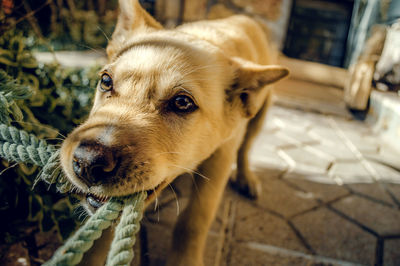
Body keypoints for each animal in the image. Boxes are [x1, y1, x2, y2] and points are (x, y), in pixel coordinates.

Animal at [59, 1, 290, 264]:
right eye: (106, 81)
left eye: (182, 103)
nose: (87, 163)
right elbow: (103, 224)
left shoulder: (221, 157)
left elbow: (194, 218)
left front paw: (185, 259)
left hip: (261, 114)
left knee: (246, 148)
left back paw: (246, 178)